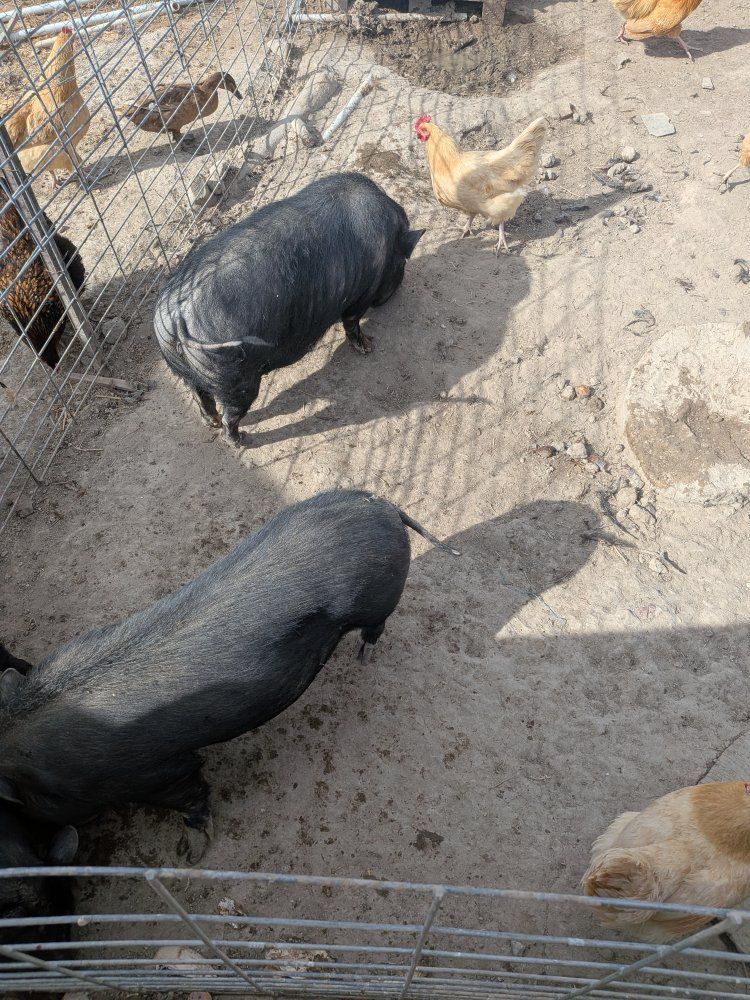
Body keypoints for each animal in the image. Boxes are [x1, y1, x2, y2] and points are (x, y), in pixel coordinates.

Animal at [0, 490, 457, 864]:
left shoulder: (158, 772)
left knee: (377, 626)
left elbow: (192, 799)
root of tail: (383, 506)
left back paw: (364, 657)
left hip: (379, 599)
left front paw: (190, 857)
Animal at [153, 172, 425, 446]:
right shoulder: (360, 296)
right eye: (402, 262)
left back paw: (212, 422)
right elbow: (352, 323)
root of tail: (176, 316)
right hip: (236, 378)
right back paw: (240, 440)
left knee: (200, 395)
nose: (397, 292)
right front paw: (369, 346)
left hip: (182, 367)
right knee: (231, 413)